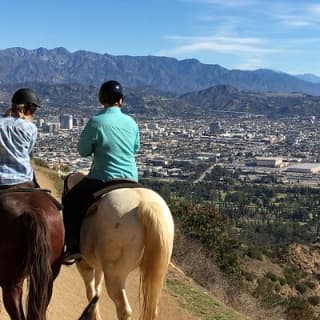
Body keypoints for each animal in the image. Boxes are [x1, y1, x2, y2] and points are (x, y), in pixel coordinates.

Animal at [62, 172, 175, 320]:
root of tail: (144, 205)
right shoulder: (98, 266)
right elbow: (97, 292)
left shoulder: (84, 264)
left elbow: (90, 292)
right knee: (153, 309)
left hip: (115, 275)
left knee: (124, 309)